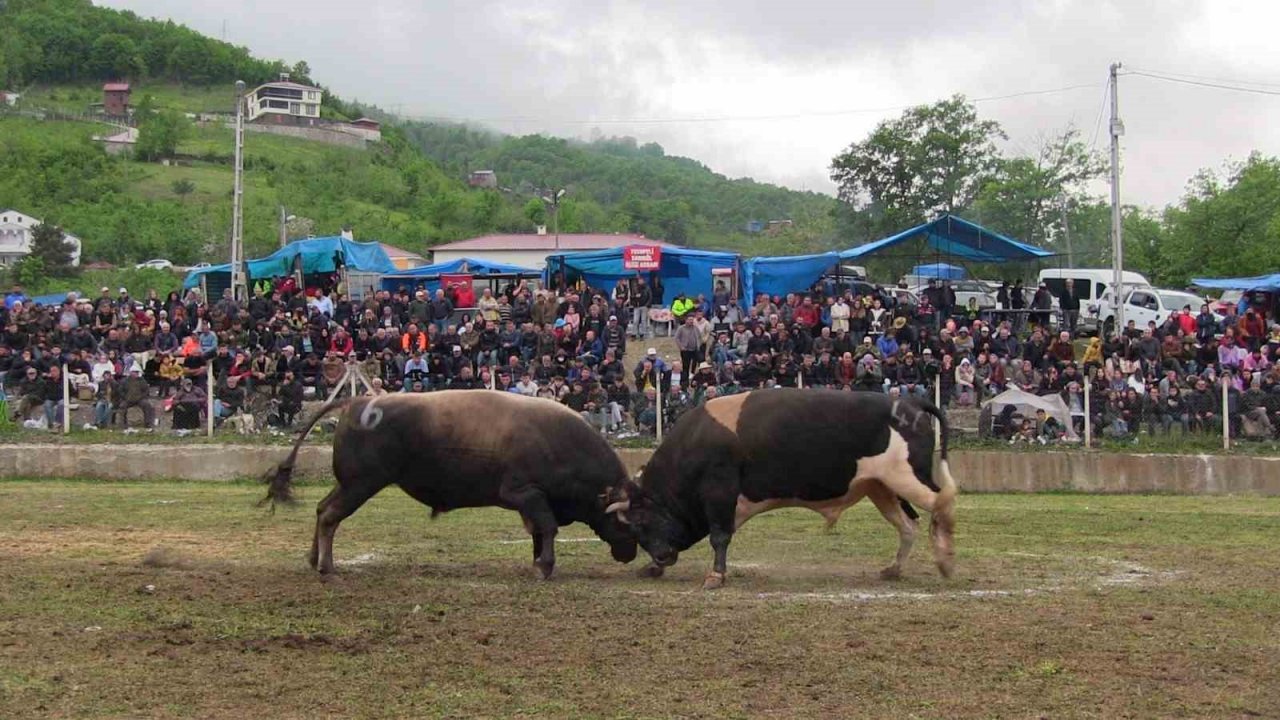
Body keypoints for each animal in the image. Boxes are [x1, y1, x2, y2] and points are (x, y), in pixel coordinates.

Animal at [261, 389, 640, 573]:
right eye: (627, 524)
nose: (630, 554)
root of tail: (359, 401)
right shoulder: (524, 493)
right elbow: (547, 527)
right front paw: (545, 566)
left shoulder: (530, 502)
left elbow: (538, 531)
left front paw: (537, 562)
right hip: (361, 484)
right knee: (329, 515)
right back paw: (327, 566)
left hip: (349, 483)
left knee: (321, 508)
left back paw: (314, 559)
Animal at [604, 389, 957, 586]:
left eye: (642, 522)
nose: (662, 558)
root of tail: (909, 402)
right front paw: (651, 568)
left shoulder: (720, 490)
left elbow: (719, 537)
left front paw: (716, 576)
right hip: (880, 487)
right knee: (909, 525)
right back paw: (894, 570)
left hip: (907, 478)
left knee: (943, 504)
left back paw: (945, 561)